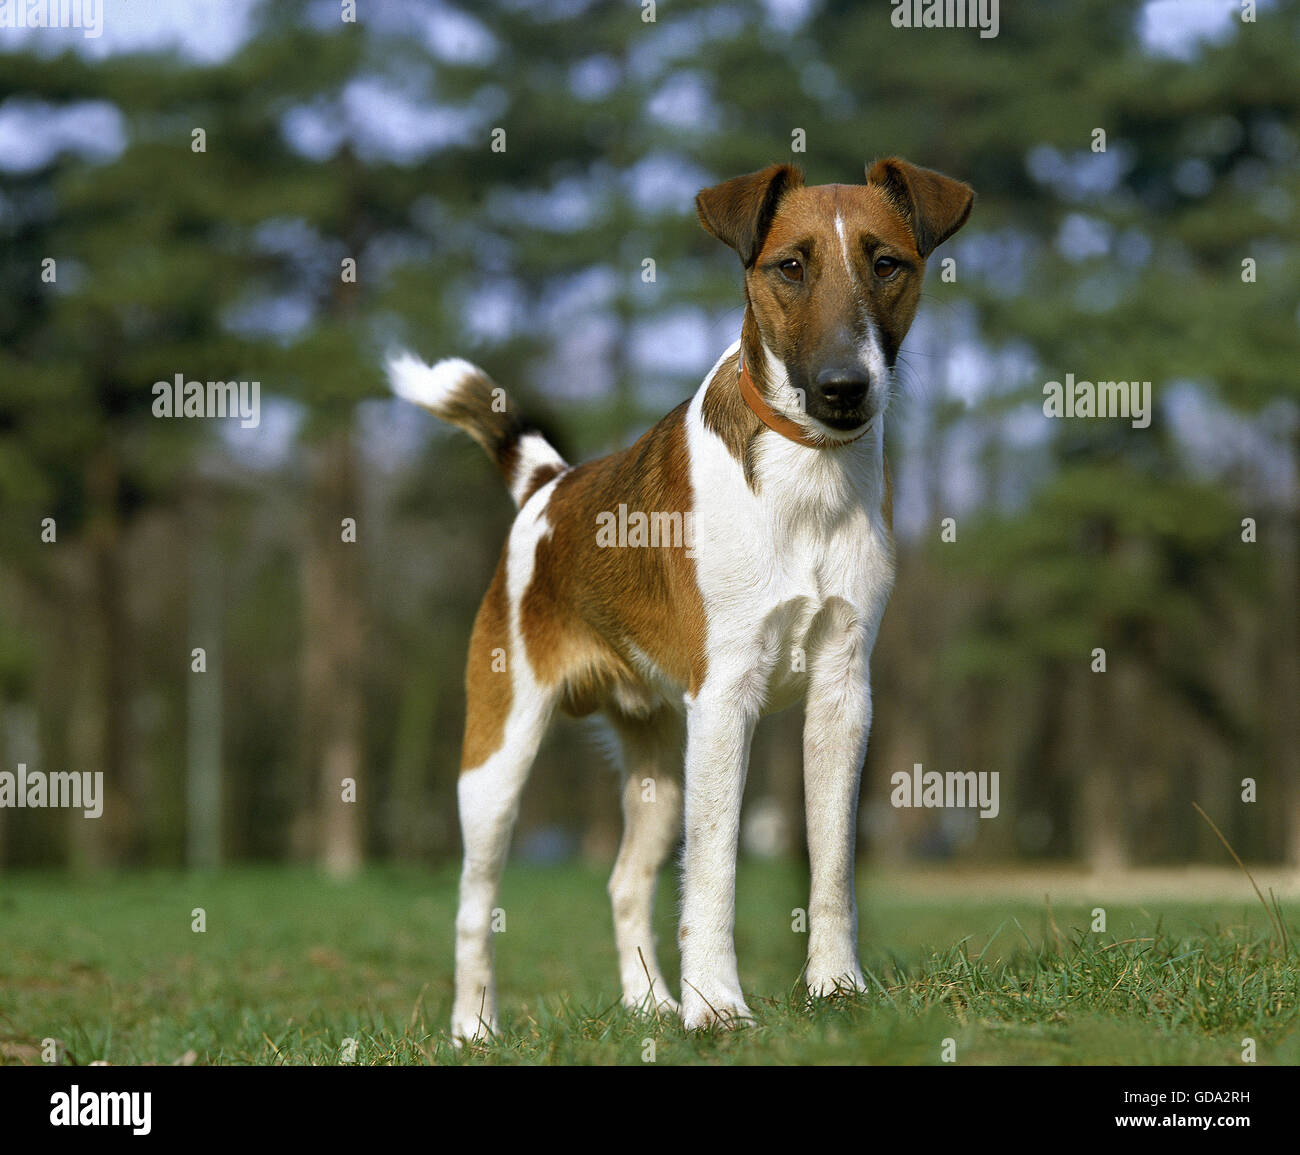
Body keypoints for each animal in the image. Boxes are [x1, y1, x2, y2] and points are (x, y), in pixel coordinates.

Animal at [384, 155, 977, 1035]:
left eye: (887, 263)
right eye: (790, 266)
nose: (843, 387)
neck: (806, 473)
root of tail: (548, 487)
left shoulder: (842, 694)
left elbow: (833, 864)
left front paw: (835, 987)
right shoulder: (725, 698)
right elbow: (715, 870)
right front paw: (717, 1004)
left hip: (658, 764)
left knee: (624, 880)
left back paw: (649, 1004)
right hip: (498, 754)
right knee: (473, 900)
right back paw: (476, 1026)